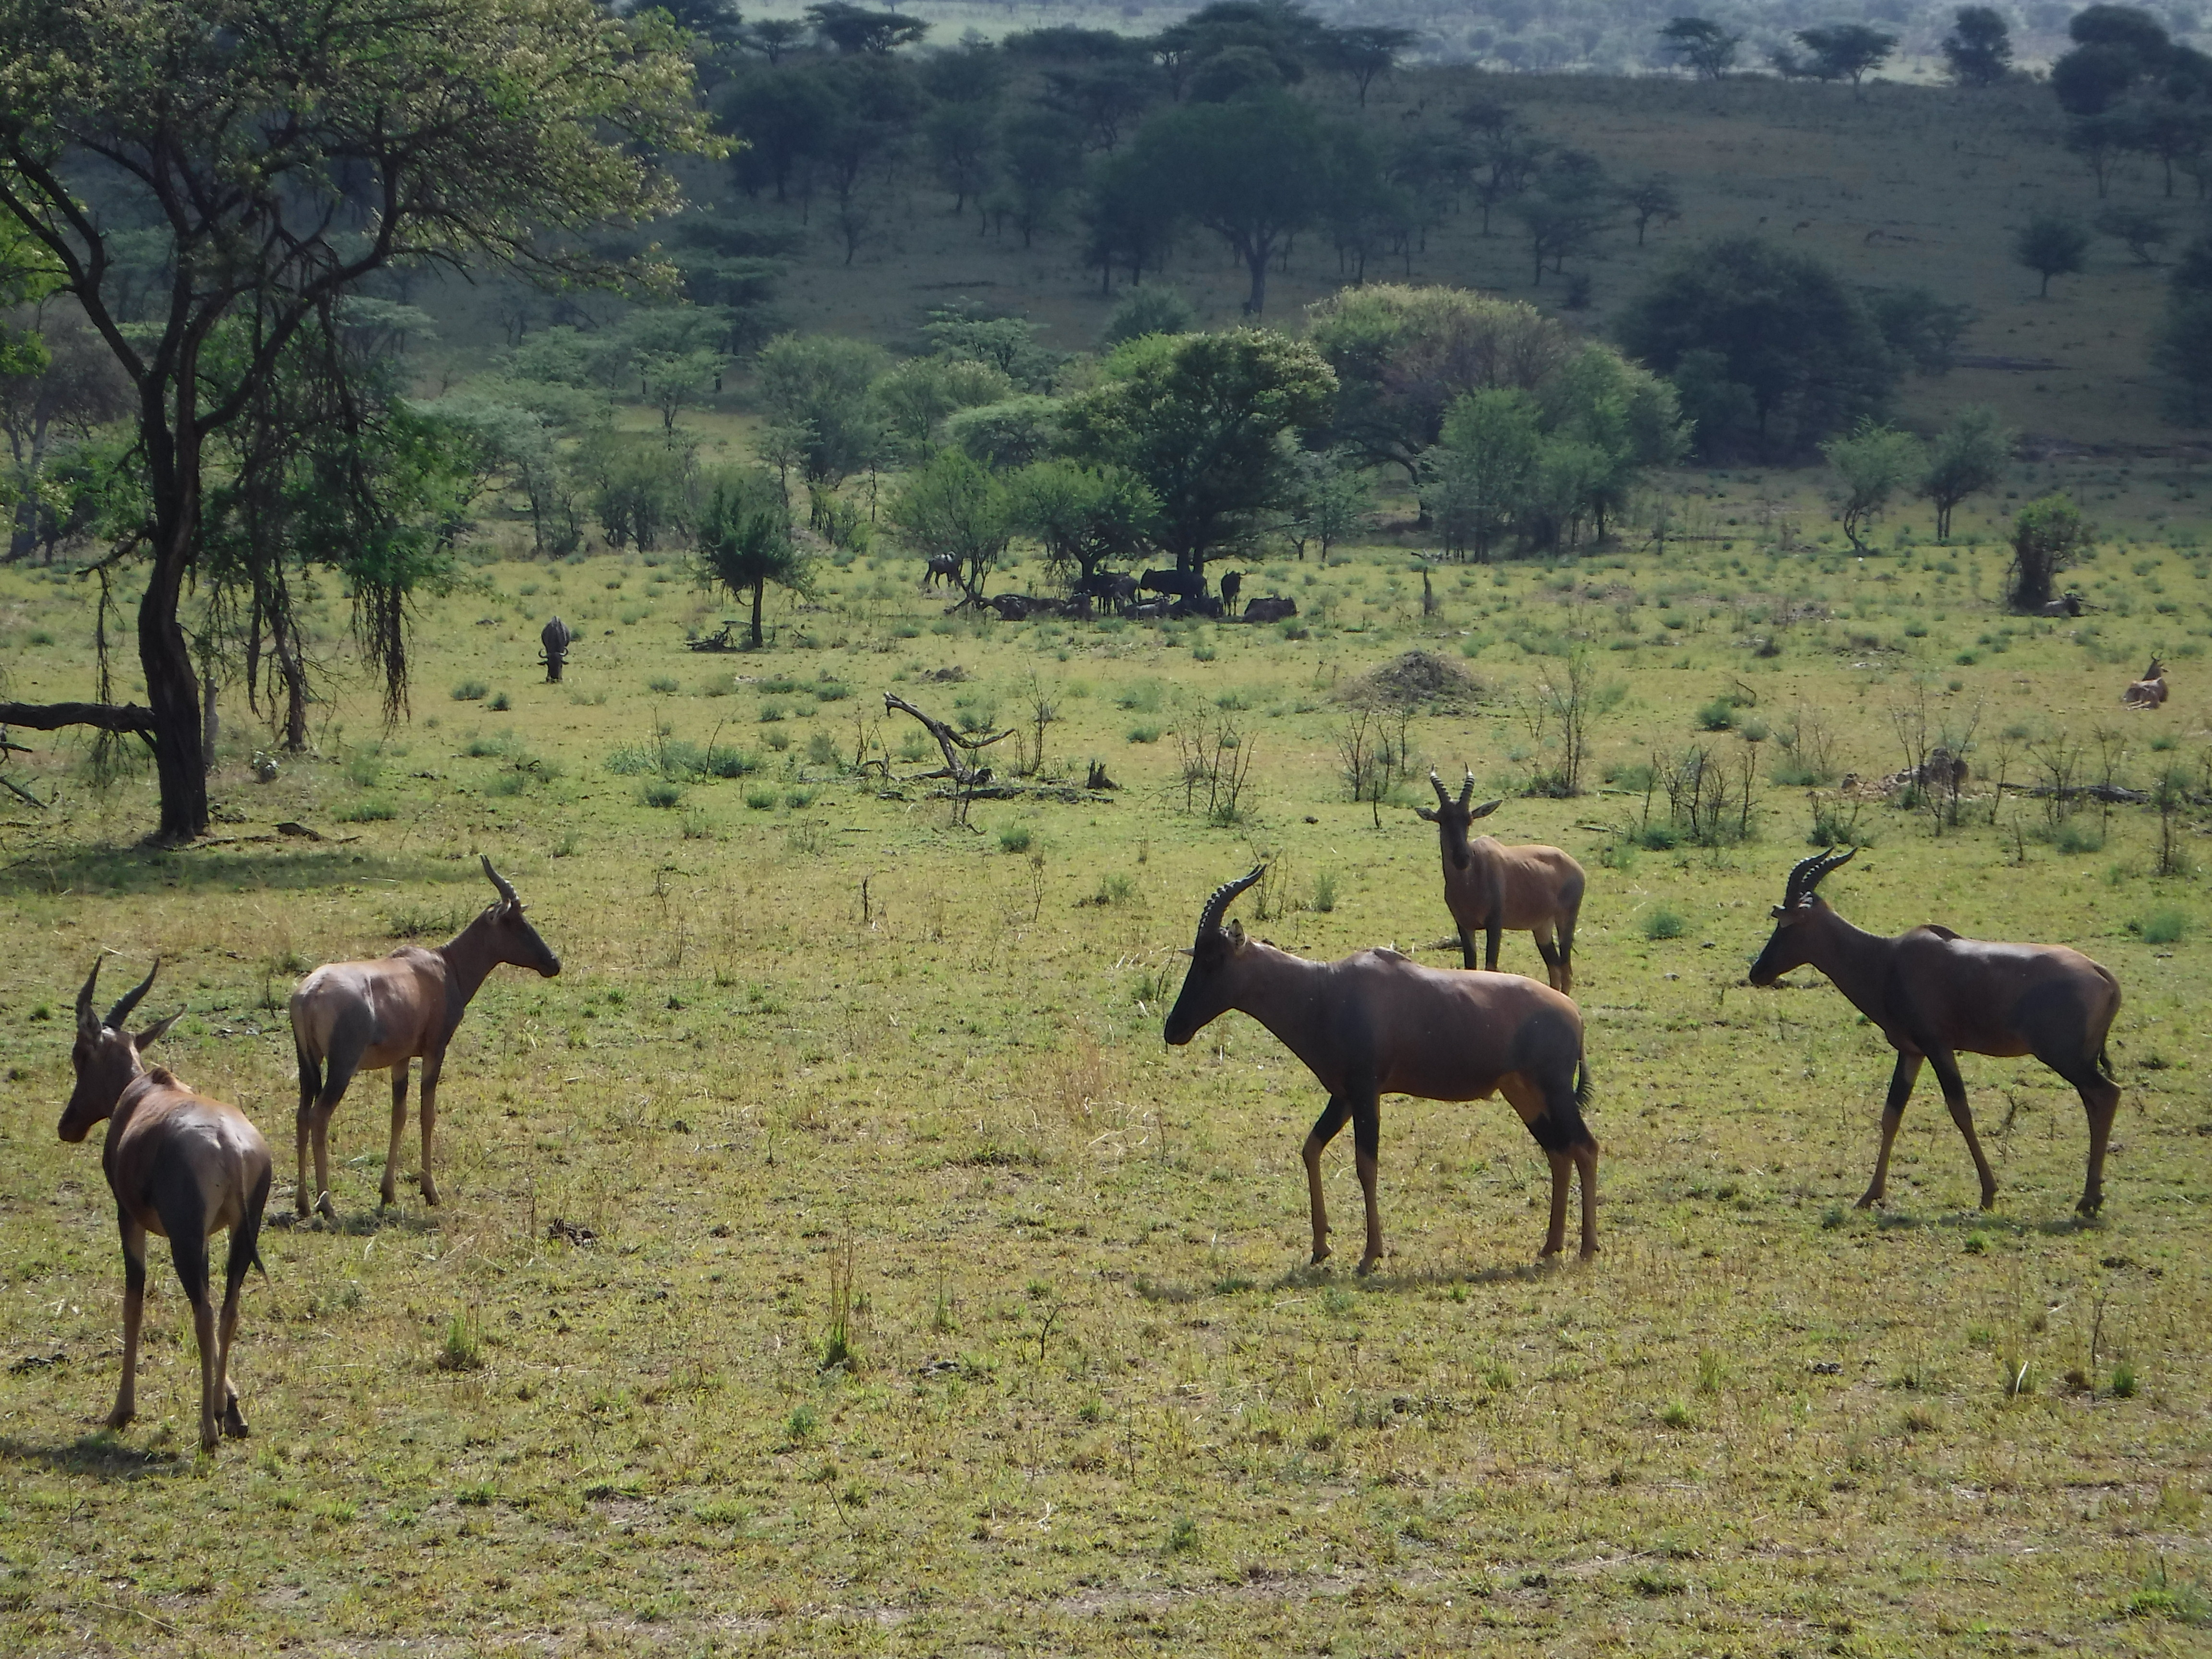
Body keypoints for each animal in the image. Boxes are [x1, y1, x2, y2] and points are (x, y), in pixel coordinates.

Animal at [58, 956, 273, 1452]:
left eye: (79, 1054)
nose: (67, 1126)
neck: (147, 1090)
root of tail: (229, 1146)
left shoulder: (129, 1219)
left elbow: (133, 1302)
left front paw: (121, 1410)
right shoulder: (209, 1235)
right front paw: (232, 1406)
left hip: (183, 1239)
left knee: (204, 1312)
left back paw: (208, 1430)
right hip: (238, 1233)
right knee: (227, 1308)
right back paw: (222, 1417)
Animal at [289, 856, 561, 1218]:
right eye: (514, 922)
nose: (554, 963)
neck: (443, 965)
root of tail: (310, 993)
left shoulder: (401, 1058)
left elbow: (399, 1116)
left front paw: (388, 1193)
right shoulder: (435, 1051)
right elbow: (427, 1114)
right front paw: (431, 1191)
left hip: (308, 1064)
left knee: (302, 1115)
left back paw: (304, 1203)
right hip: (341, 1067)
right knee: (320, 1117)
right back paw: (327, 1205)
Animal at [1163, 868, 1599, 1270]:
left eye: (1214, 959)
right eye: (1196, 956)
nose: (1173, 1029)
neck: (1326, 987)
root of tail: (1574, 1013)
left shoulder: (1365, 1092)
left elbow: (1366, 1166)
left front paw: (1371, 1254)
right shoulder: (1342, 1096)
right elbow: (1311, 1149)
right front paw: (1321, 1247)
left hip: (1554, 1092)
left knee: (1586, 1147)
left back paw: (1587, 1247)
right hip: (1525, 1095)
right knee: (1559, 1152)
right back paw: (1551, 1246)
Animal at [1415, 770, 1586, 994]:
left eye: (1469, 820)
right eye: (1441, 821)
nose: (1462, 860)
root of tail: (1576, 867)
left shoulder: (1495, 924)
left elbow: (1491, 968)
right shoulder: (1464, 925)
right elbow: (1470, 968)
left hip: (1567, 919)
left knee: (1566, 969)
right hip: (1542, 927)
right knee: (1555, 967)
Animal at [1747, 848, 2123, 1215]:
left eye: (1788, 923)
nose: (1758, 972)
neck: (1888, 958)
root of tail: (2102, 974)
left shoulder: (1938, 1047)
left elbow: (1961, 1113)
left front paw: (1988, 1195)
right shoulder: (1911, 1051)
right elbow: (1891, 1115)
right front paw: (1869, 1195)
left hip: (2065, 1057)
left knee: (2107, 1094)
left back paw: (2089, 1199)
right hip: (2079, 1059)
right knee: (2095, 1101)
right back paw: (2092, 1196)